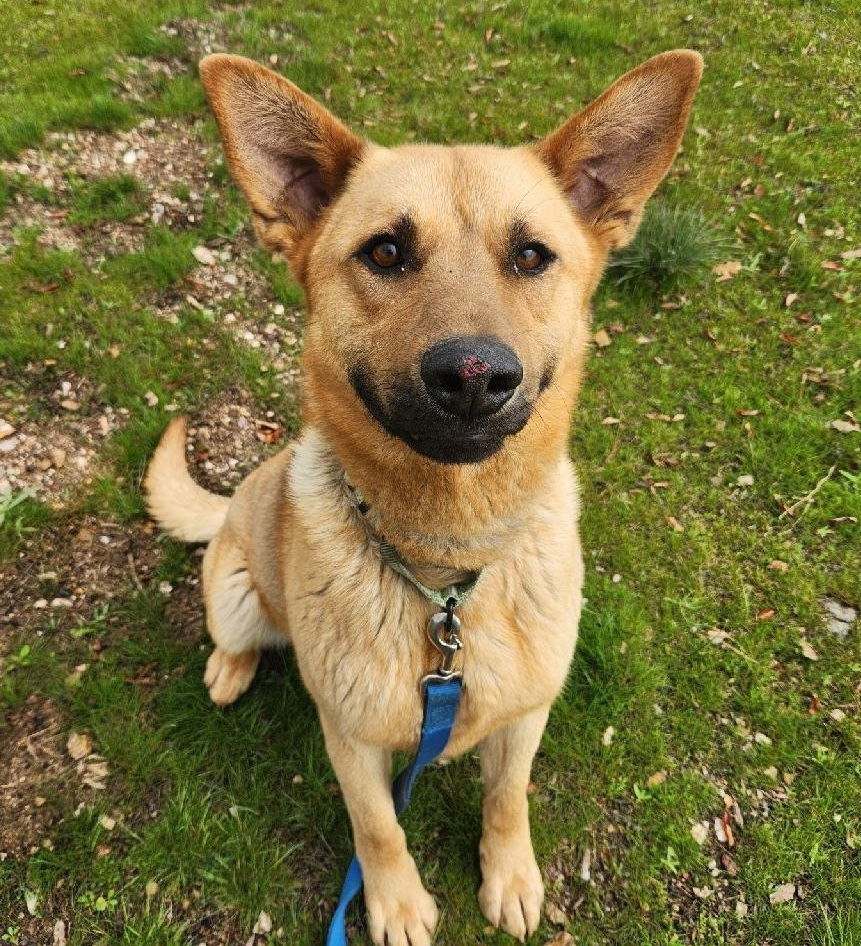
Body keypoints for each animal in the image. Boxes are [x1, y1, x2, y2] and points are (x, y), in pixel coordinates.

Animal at [146, 53, 700, 944]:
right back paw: (230, 668)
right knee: (236, 634)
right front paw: (396, 903)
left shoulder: (524, 717)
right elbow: (378, 826)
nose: (474, 376)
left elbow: (507, 797)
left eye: (532, 255)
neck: (445, 575)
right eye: (385, 251)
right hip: (233, 591)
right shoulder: (349, 740)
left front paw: (508, 874)